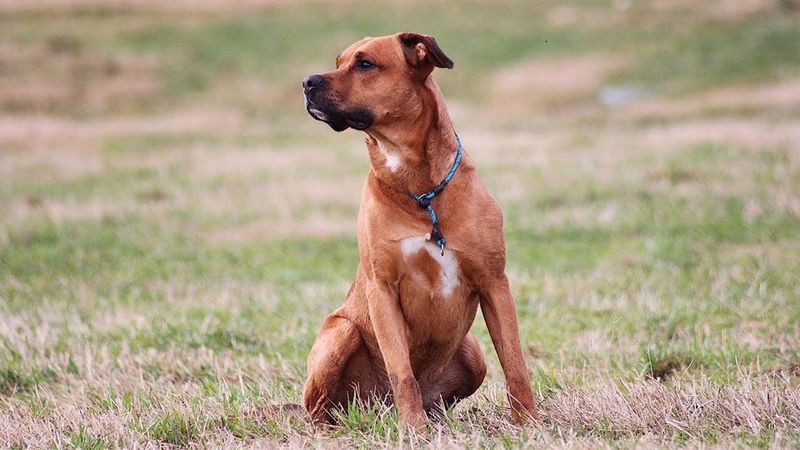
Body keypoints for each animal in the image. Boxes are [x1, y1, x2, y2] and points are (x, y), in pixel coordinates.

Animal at [300, 32, 536, 428]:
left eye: (365, 63)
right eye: (338, 61)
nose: (306, 82)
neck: (419, 190)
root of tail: (376, 406)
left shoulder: (494, 283)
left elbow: (515, 364)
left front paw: (529, 423)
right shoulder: (382, 290)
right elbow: (402, 372)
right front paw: (413, 429)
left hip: (472, 352)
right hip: (340, 333)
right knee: (318, 410)